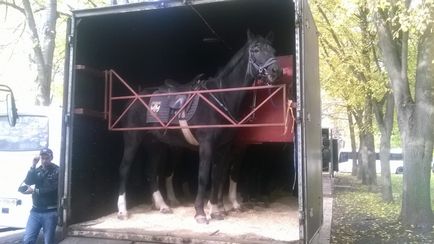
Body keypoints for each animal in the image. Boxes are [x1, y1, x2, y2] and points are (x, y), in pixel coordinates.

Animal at [117, 30, 284, 223]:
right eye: (255, 50)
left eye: (273, 50)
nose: (276, 71)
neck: (219, 98)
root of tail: (134, 97)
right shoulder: (206, 145)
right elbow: (204, 177)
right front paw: (200, 213)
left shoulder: (224, 147)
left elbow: (217, 177)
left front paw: (217, 210)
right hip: (133, 139)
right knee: (124, 169)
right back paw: (122, 211)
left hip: (155, 144)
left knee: (151, 172)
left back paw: (162, 206)